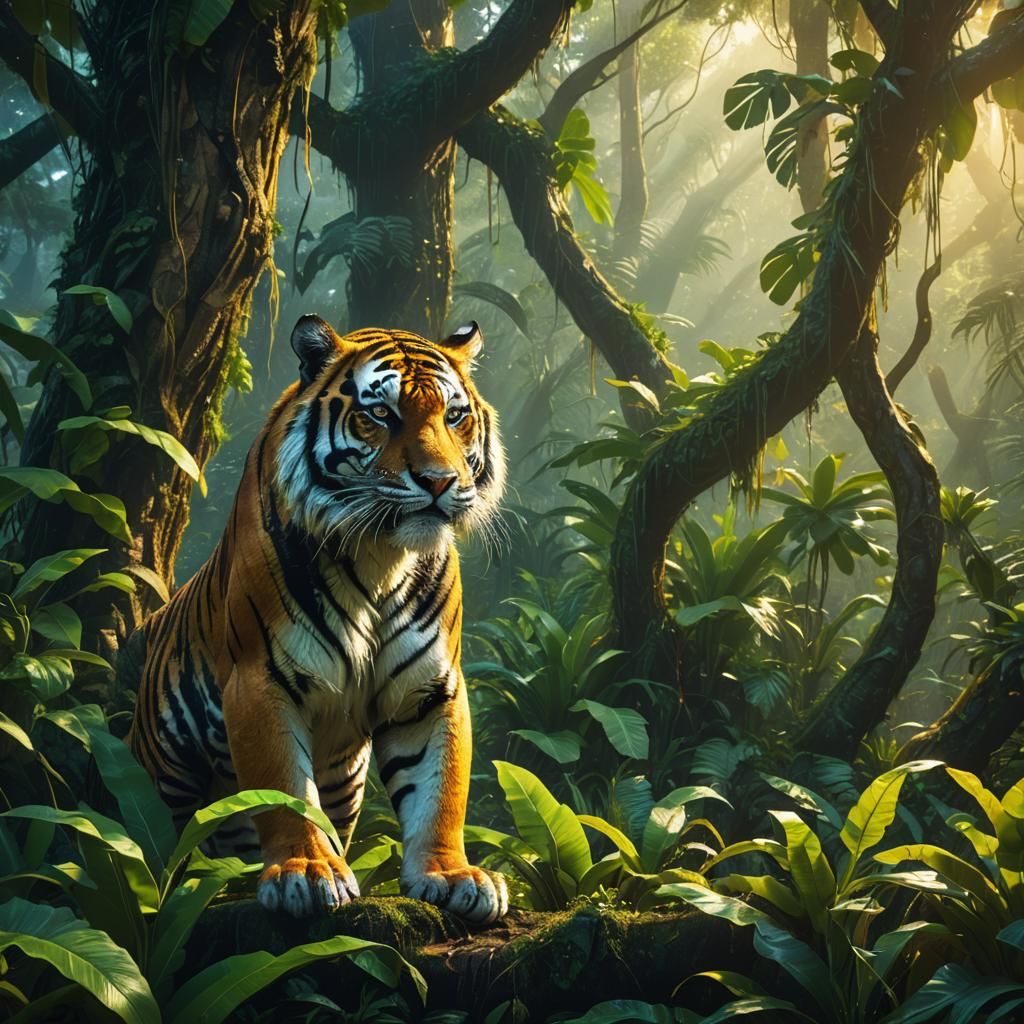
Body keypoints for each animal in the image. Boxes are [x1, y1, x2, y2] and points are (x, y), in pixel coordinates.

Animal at [127, 314, 508, 923]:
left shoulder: (431, 691)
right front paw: (307, 872)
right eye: (381, 414)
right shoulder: (260, 682)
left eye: (454, 416)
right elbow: (283, 791)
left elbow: (441, 791)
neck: (382, 557)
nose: (440, 481)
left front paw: (452, 876)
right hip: (162, 782)